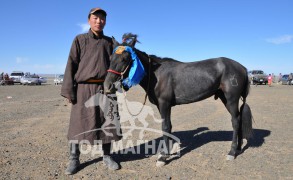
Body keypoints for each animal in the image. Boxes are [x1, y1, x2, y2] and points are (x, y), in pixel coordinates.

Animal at [104, 33, 252, 166]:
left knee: (235, 121)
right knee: (238, 119)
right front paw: (167, 153)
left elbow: (165, 127)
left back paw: (232, 152)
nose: (107, 86)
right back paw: (238, 148)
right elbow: (168, 126)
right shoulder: (162, 105)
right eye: (111, 57)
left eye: (125, 58)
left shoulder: (164, 104)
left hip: (231, 99)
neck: (156, 75)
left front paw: (163, 157)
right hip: (225, 98)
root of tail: (243, 68)